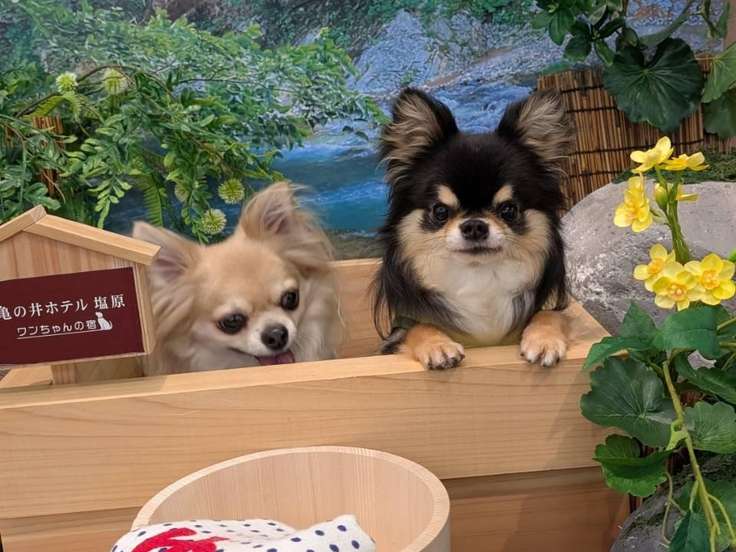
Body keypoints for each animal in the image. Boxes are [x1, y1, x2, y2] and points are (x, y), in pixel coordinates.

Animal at [373, 88, 574, 369]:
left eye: (509, 210)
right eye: (440, 211)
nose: (475, 225)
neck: (479, 276)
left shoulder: (552, 310)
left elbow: (551, 315)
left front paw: (544, 340)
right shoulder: (398, 333)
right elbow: (419, 327)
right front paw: (439, 346)